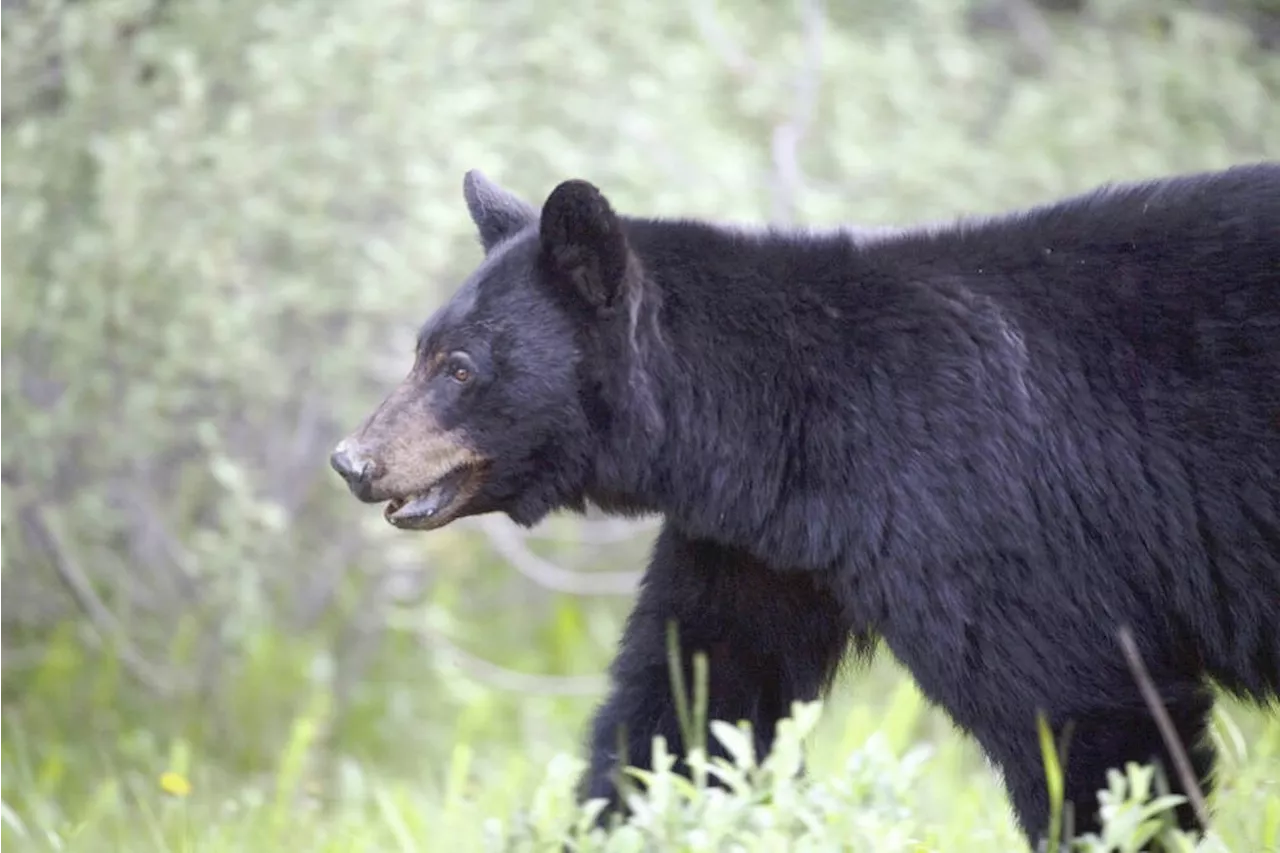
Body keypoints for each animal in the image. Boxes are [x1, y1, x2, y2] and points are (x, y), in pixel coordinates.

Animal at [330, 162, 1280, 840]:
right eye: (422, 348)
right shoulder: (759, 548)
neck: (789, 424)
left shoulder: (979, 505)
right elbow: (692, 704)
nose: (353, 460)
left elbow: (1085, 710)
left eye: (460, 367)